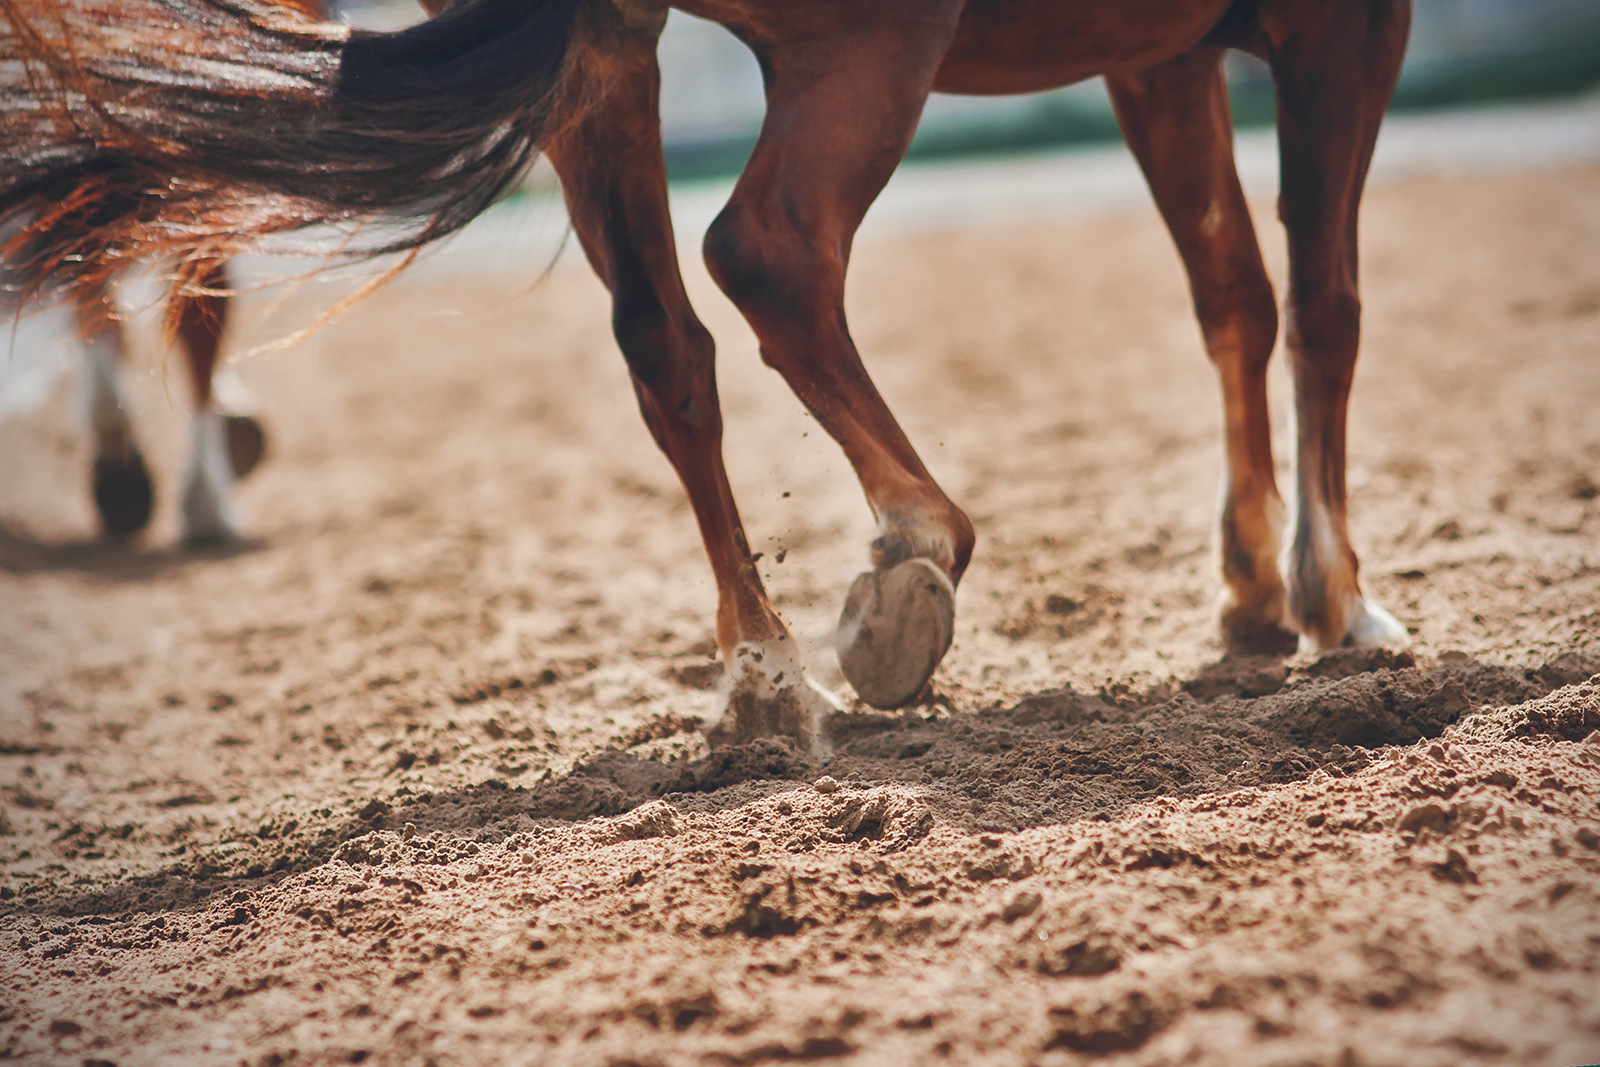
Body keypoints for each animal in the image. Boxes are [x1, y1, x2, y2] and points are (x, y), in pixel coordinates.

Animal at [0, 0, 1414, 751]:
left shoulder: (1158, 54)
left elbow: (1232, 296)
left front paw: (1252, 582)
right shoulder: (1340, 26)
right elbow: (1326, 304)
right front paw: (1337, 598)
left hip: (609, 67)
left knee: (664, 342)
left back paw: (764, 669)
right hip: (865, 51)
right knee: (771, 253)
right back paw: (913, 546)